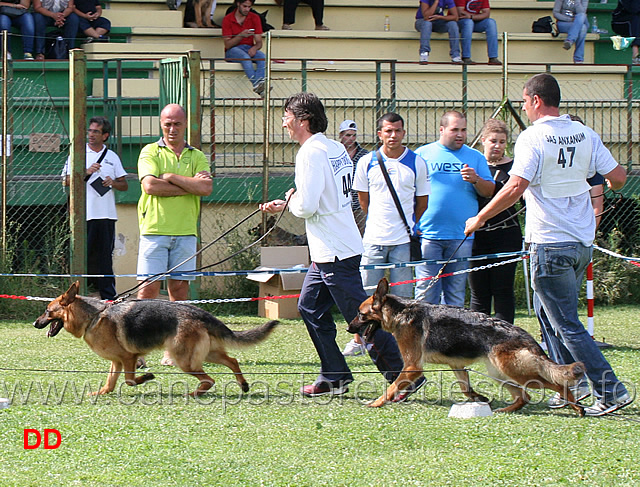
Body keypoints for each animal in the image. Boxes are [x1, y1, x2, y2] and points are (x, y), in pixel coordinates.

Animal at [32, 282, 278, 396]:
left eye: (47, 310)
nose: (34, 323)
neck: (93, 316)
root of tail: (200, 312)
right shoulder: (117, 362)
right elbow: (110, 384)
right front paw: (100, 393)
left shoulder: (128, 358)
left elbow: (129, 381)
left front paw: (147, 376)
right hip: (206, 354)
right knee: (232, 361)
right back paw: (243, 385)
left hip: (185, 361)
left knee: (210, 380)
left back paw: (194, 393)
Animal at [350, 278, 584, 416]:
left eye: (360, 315)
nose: (348, 328)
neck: (400, 312)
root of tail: (525, 335)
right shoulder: (456, 366)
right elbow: (465, 388)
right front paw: (478, 398)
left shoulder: (412, 367)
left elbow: (390, 388)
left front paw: (377, 403)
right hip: (500, 373)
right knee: (524, 396)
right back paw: (506, 409)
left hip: (516, 371)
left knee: (556, 385)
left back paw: (576, 406)